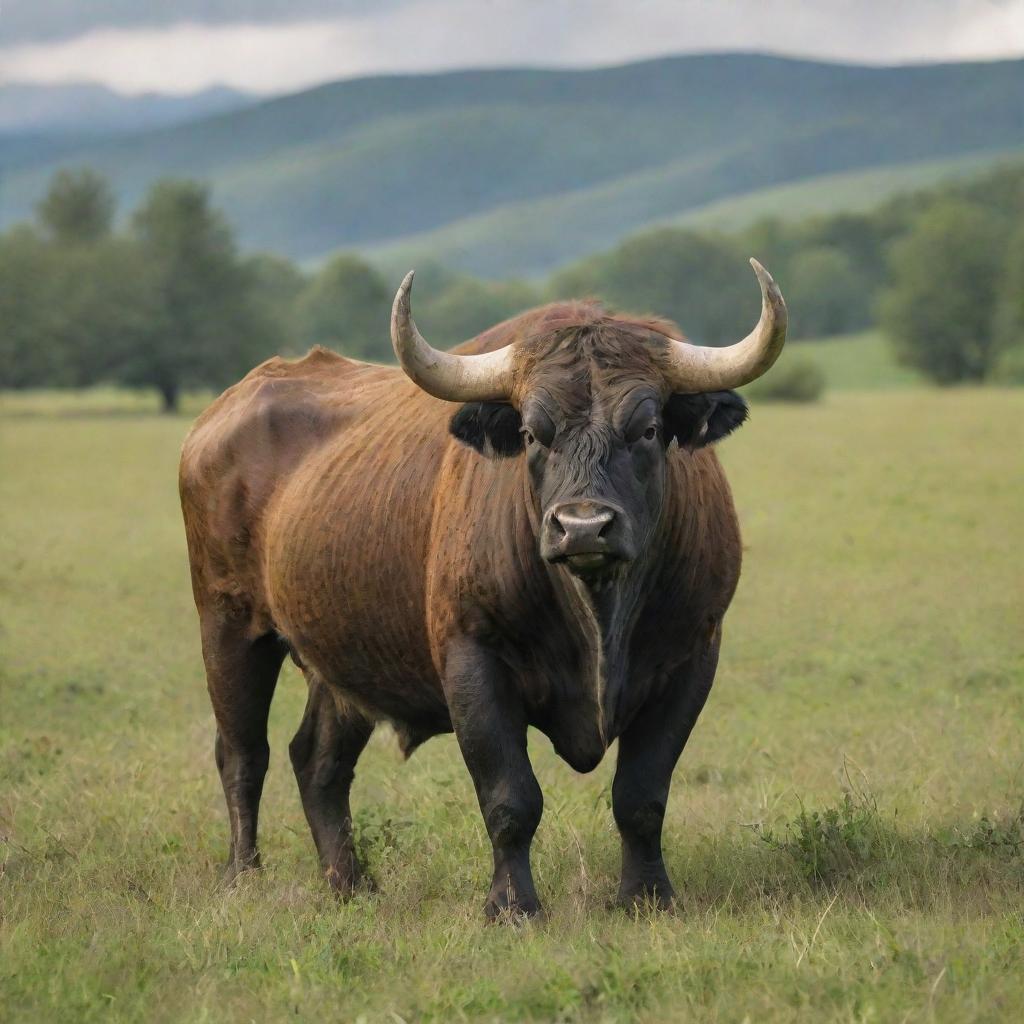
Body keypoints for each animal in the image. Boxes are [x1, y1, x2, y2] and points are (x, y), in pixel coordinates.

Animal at [180, 260, 786, 917]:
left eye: (648, 429)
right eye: (533, 432)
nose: (583, 527)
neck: (596, 612)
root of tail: (218, 418)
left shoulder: (690, 660)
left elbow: (642, 796)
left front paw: (646, 897)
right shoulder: (473, 662)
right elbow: (509, 798)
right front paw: (512, 904)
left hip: (340, 661)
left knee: (316, 761)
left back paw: (349, 883)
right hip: (228, 626)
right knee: (243, 754)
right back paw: (244, 876)